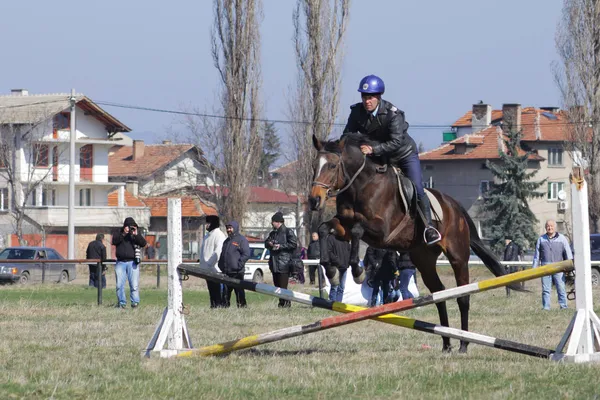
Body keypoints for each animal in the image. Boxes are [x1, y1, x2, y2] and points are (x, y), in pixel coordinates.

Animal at [308, 134, 516, 354]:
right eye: (315, 165)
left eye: (332, 165)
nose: (314, 200)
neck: (361, 185)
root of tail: (455, 207)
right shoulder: (344, 227)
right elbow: (324, 229)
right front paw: (330, 270)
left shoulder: (382, 231)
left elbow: (357, 230)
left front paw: (357, 271)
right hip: (424, 260)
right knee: (439, 293)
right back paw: (446, 344)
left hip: (458, 257)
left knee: (463, 296)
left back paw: (463, 343)